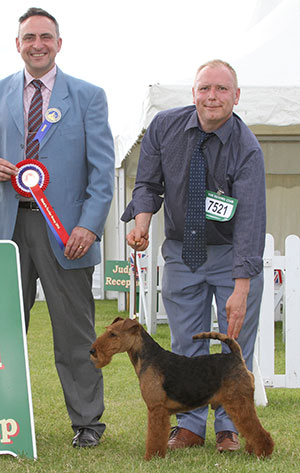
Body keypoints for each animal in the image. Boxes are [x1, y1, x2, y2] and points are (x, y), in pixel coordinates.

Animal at [89, 316, 274, 460]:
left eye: (113, 334)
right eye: (108, 330)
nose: (92, 351)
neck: (149, 358)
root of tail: (236, 356)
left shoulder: (156, 409)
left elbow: (155, 436)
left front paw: (151, 457)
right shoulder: (159, 410)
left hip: (238, 402)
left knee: (258, 431)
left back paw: (263, 453)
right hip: (239, 403)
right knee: (251, 430)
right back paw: (252, 451)